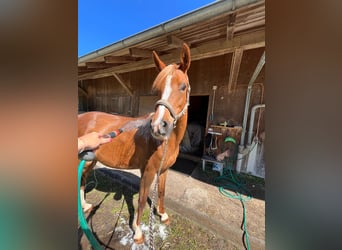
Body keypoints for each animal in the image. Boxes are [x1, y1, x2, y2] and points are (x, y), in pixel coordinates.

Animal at [77, 43, 191, 244]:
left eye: (183, 87)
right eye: (157, 90)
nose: (158, 126)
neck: (165, 142)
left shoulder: (164, 171)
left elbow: (161, 192)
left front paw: (163, 215)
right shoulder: (148, 171)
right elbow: (142, 200)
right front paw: (137, 232)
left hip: (90, 159)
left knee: (82, 178)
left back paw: (85, 206)